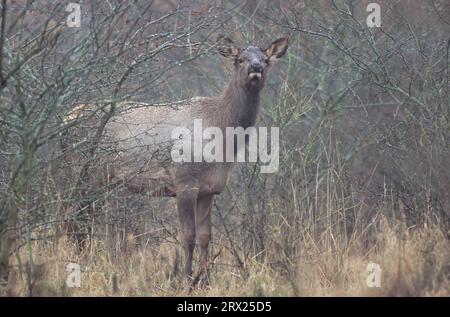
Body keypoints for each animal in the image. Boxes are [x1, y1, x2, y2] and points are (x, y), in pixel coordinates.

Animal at [63, 35, 288, 278]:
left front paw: (204, 278)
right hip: (85, 172)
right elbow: (188, 236)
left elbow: (205, 237)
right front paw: (185, 277)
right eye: (240, 59)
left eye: (266, 59)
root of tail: (66, 119)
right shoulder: (184, 180)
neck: (221, 138)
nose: (256, 68)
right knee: (73, 217)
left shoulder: (209, 190)